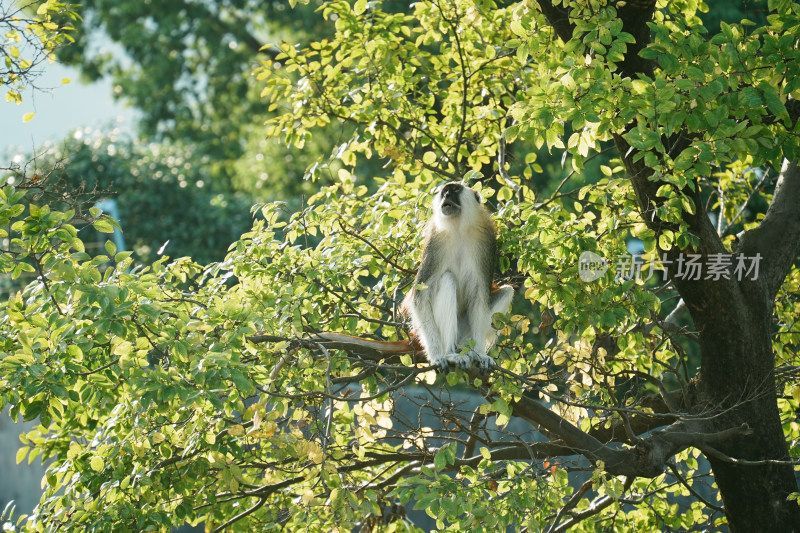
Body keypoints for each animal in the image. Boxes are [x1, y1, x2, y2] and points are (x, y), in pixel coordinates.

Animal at [404, 183, 516, 370]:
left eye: (455, 190)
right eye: (444, 191)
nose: (446, 195)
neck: (457, 228)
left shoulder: (485, 241)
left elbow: (480, 295)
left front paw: (480, 354)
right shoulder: (435, 242)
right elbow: (420, 296)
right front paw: (436, 356)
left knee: (507, 291)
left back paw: (467, 351)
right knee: (447, 279)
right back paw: (450, 353)